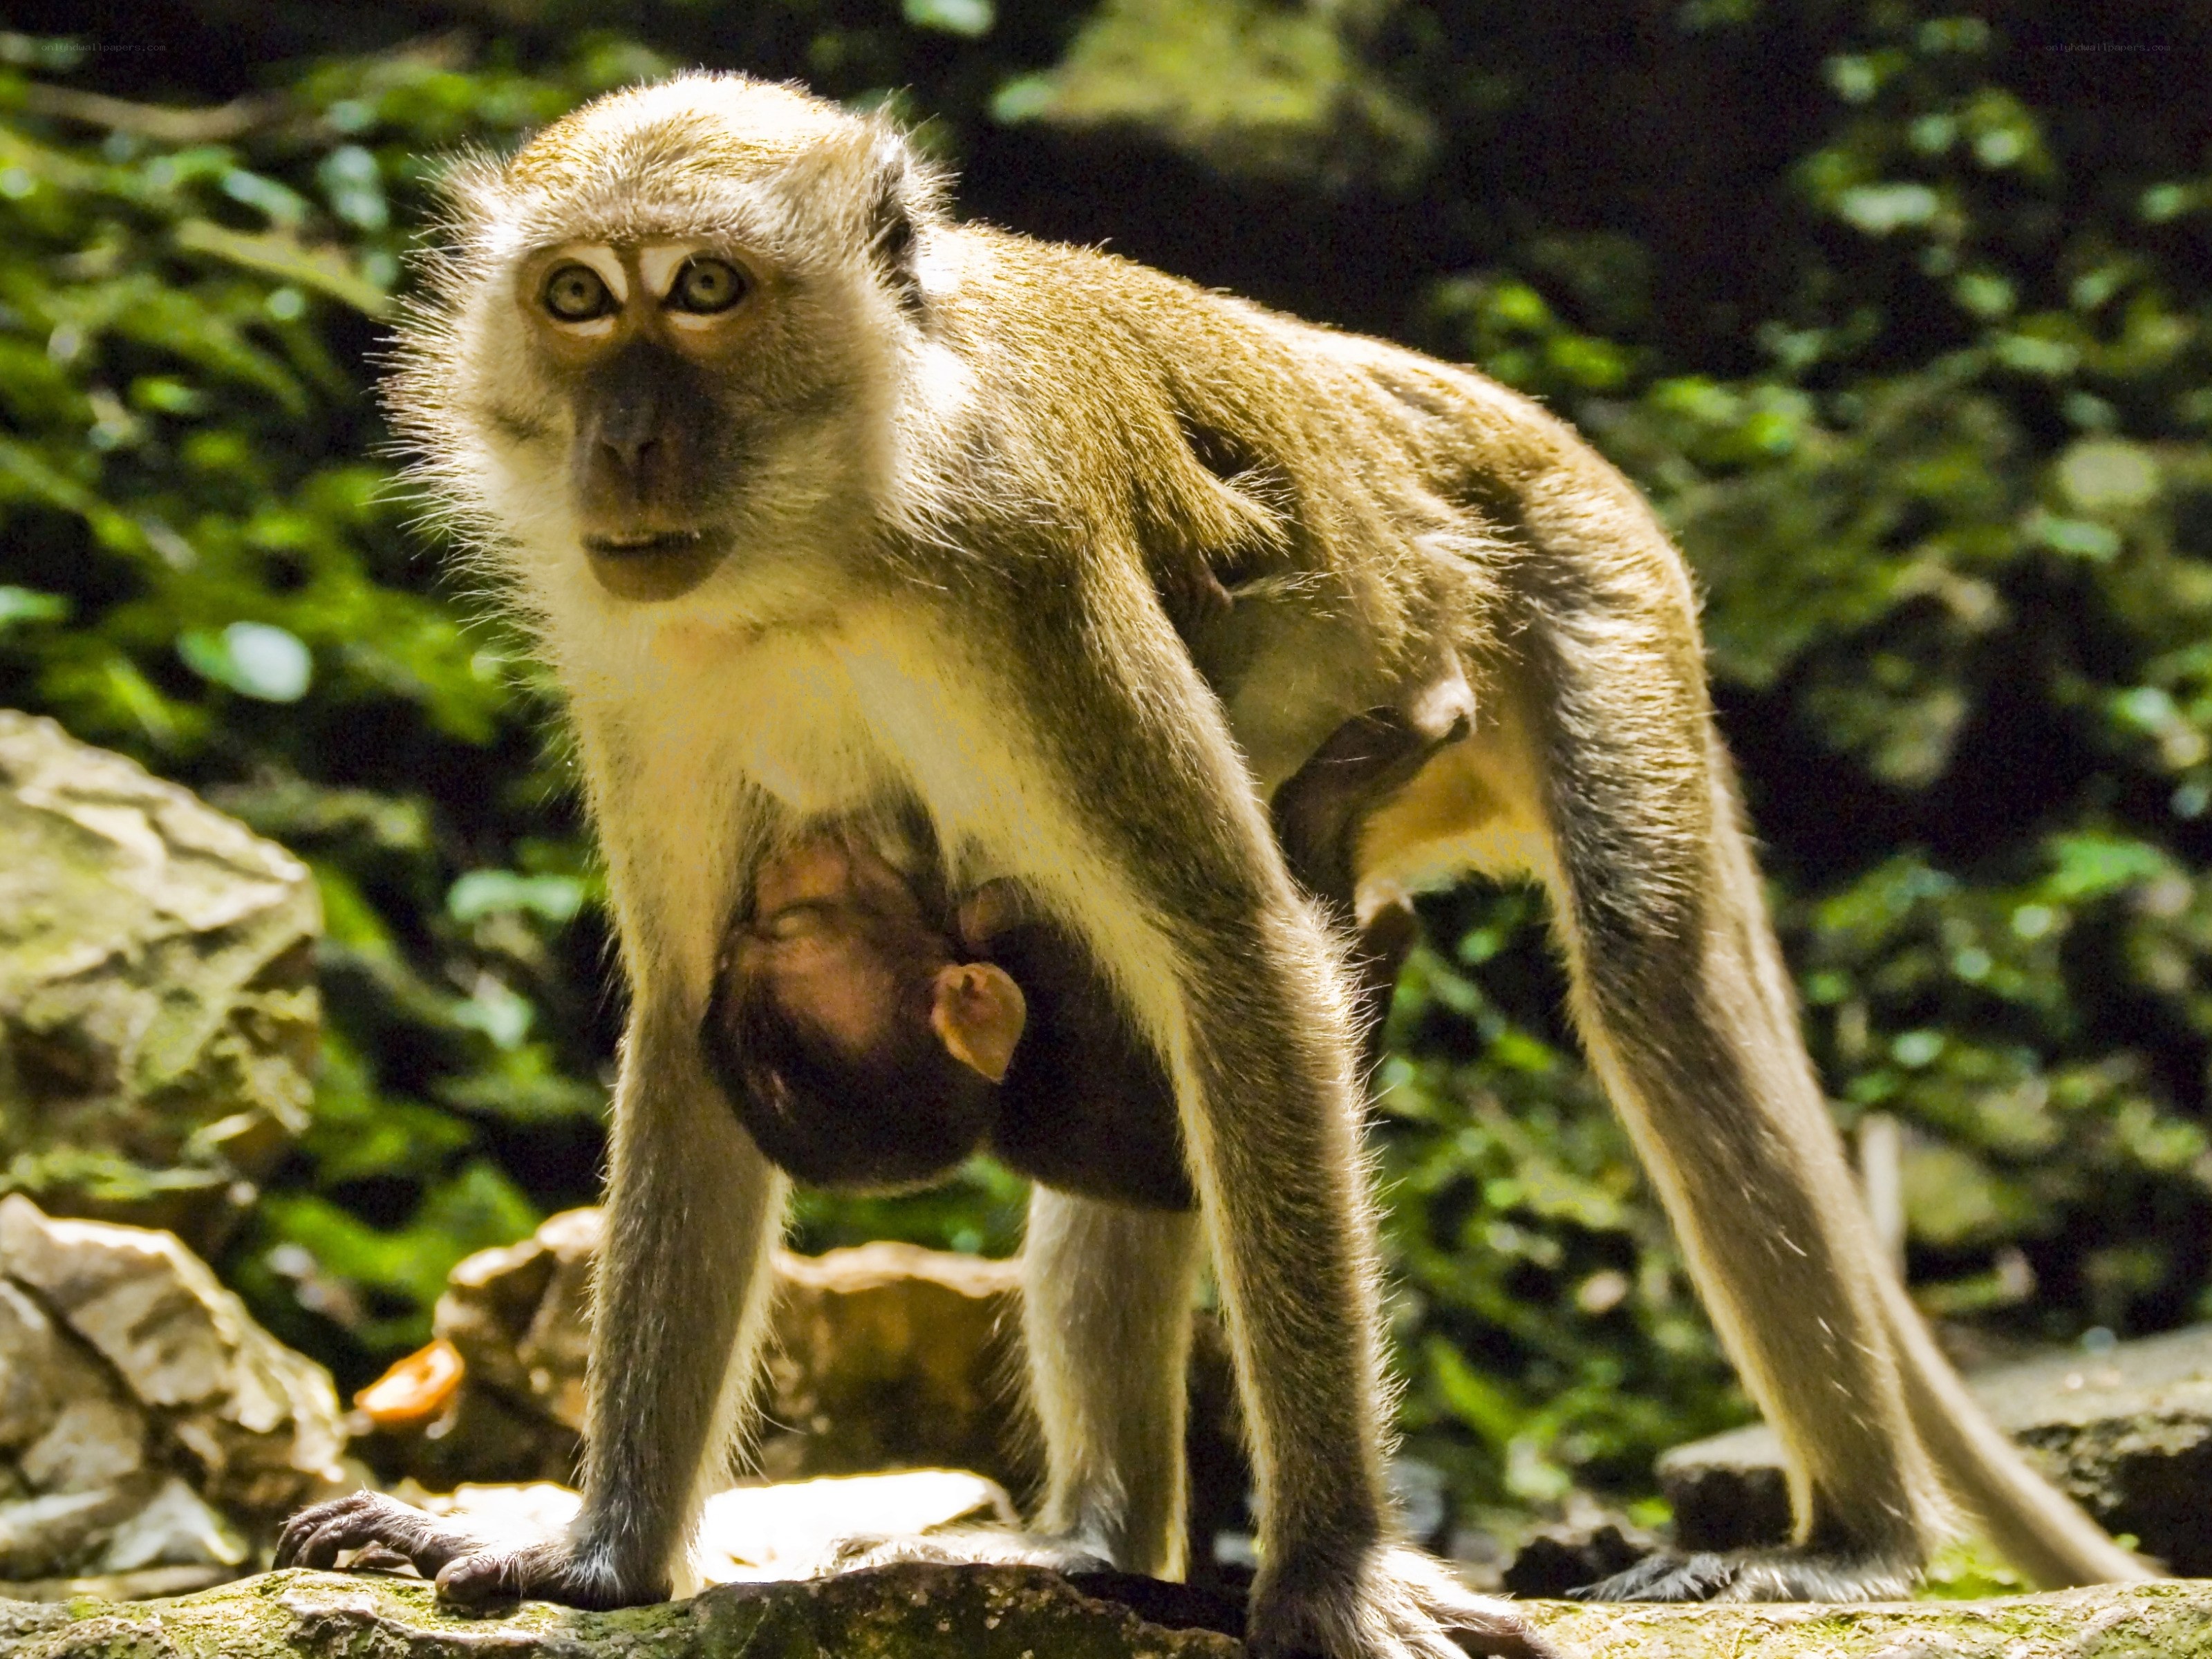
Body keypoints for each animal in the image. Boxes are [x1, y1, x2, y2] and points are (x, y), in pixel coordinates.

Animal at [274, 72, 2149, 1658]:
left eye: (708, 290)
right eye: (581, 300)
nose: (628, 445)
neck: (819, 551)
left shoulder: (1021, 569)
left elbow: (1241, 953)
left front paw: (1330, 1572)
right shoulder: (639, 665)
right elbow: (687, 1024)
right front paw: (599, 1554)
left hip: (1598, 594)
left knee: (1649, 995)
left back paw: (1852, 1540)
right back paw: (1093, 1537)